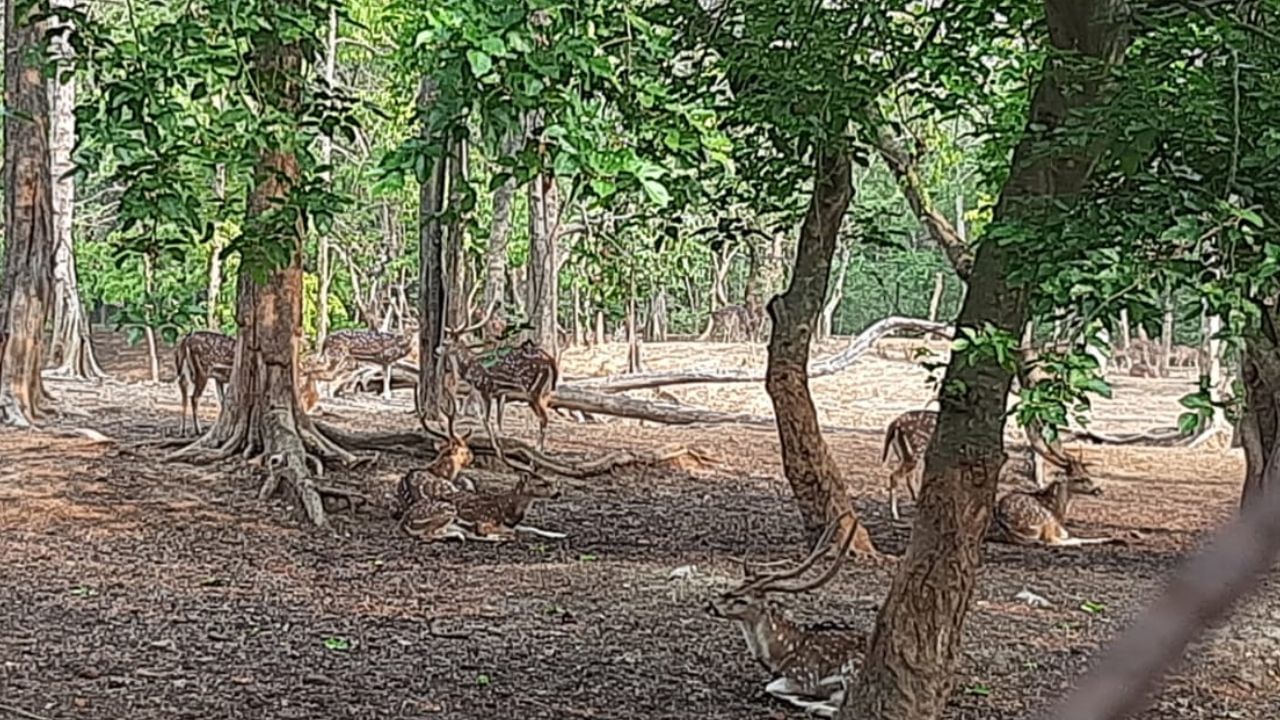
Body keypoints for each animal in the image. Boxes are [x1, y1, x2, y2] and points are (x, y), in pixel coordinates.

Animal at [399, 471, 560, 538]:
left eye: (549, 481)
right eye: (541, 484)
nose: (557, 493)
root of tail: (405, 522)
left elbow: (531, 528)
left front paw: (558, 534)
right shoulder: (485, 521)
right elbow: (513, 531)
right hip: (447, 509)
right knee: (427, 535)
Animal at [706, 512, 865, 712]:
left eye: (742, 600)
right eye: (733, 587)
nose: (710, 604)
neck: (778, 655)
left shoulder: (804, 675)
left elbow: (771, 687)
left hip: (853, 668)